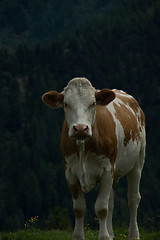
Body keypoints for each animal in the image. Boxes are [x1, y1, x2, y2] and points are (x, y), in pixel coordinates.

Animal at [42, 77, 146, 240]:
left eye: (92, 103)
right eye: (66, 104)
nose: (80, 128)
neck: (83, 146)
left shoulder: (106, 170)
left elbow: (101, 208)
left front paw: (103, 237)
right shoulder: (70, 172)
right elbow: (79, 208)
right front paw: (80, 236)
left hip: (138, 162)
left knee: (133, 199)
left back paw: (134, 234)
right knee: (111, 201)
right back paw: (111, 233)